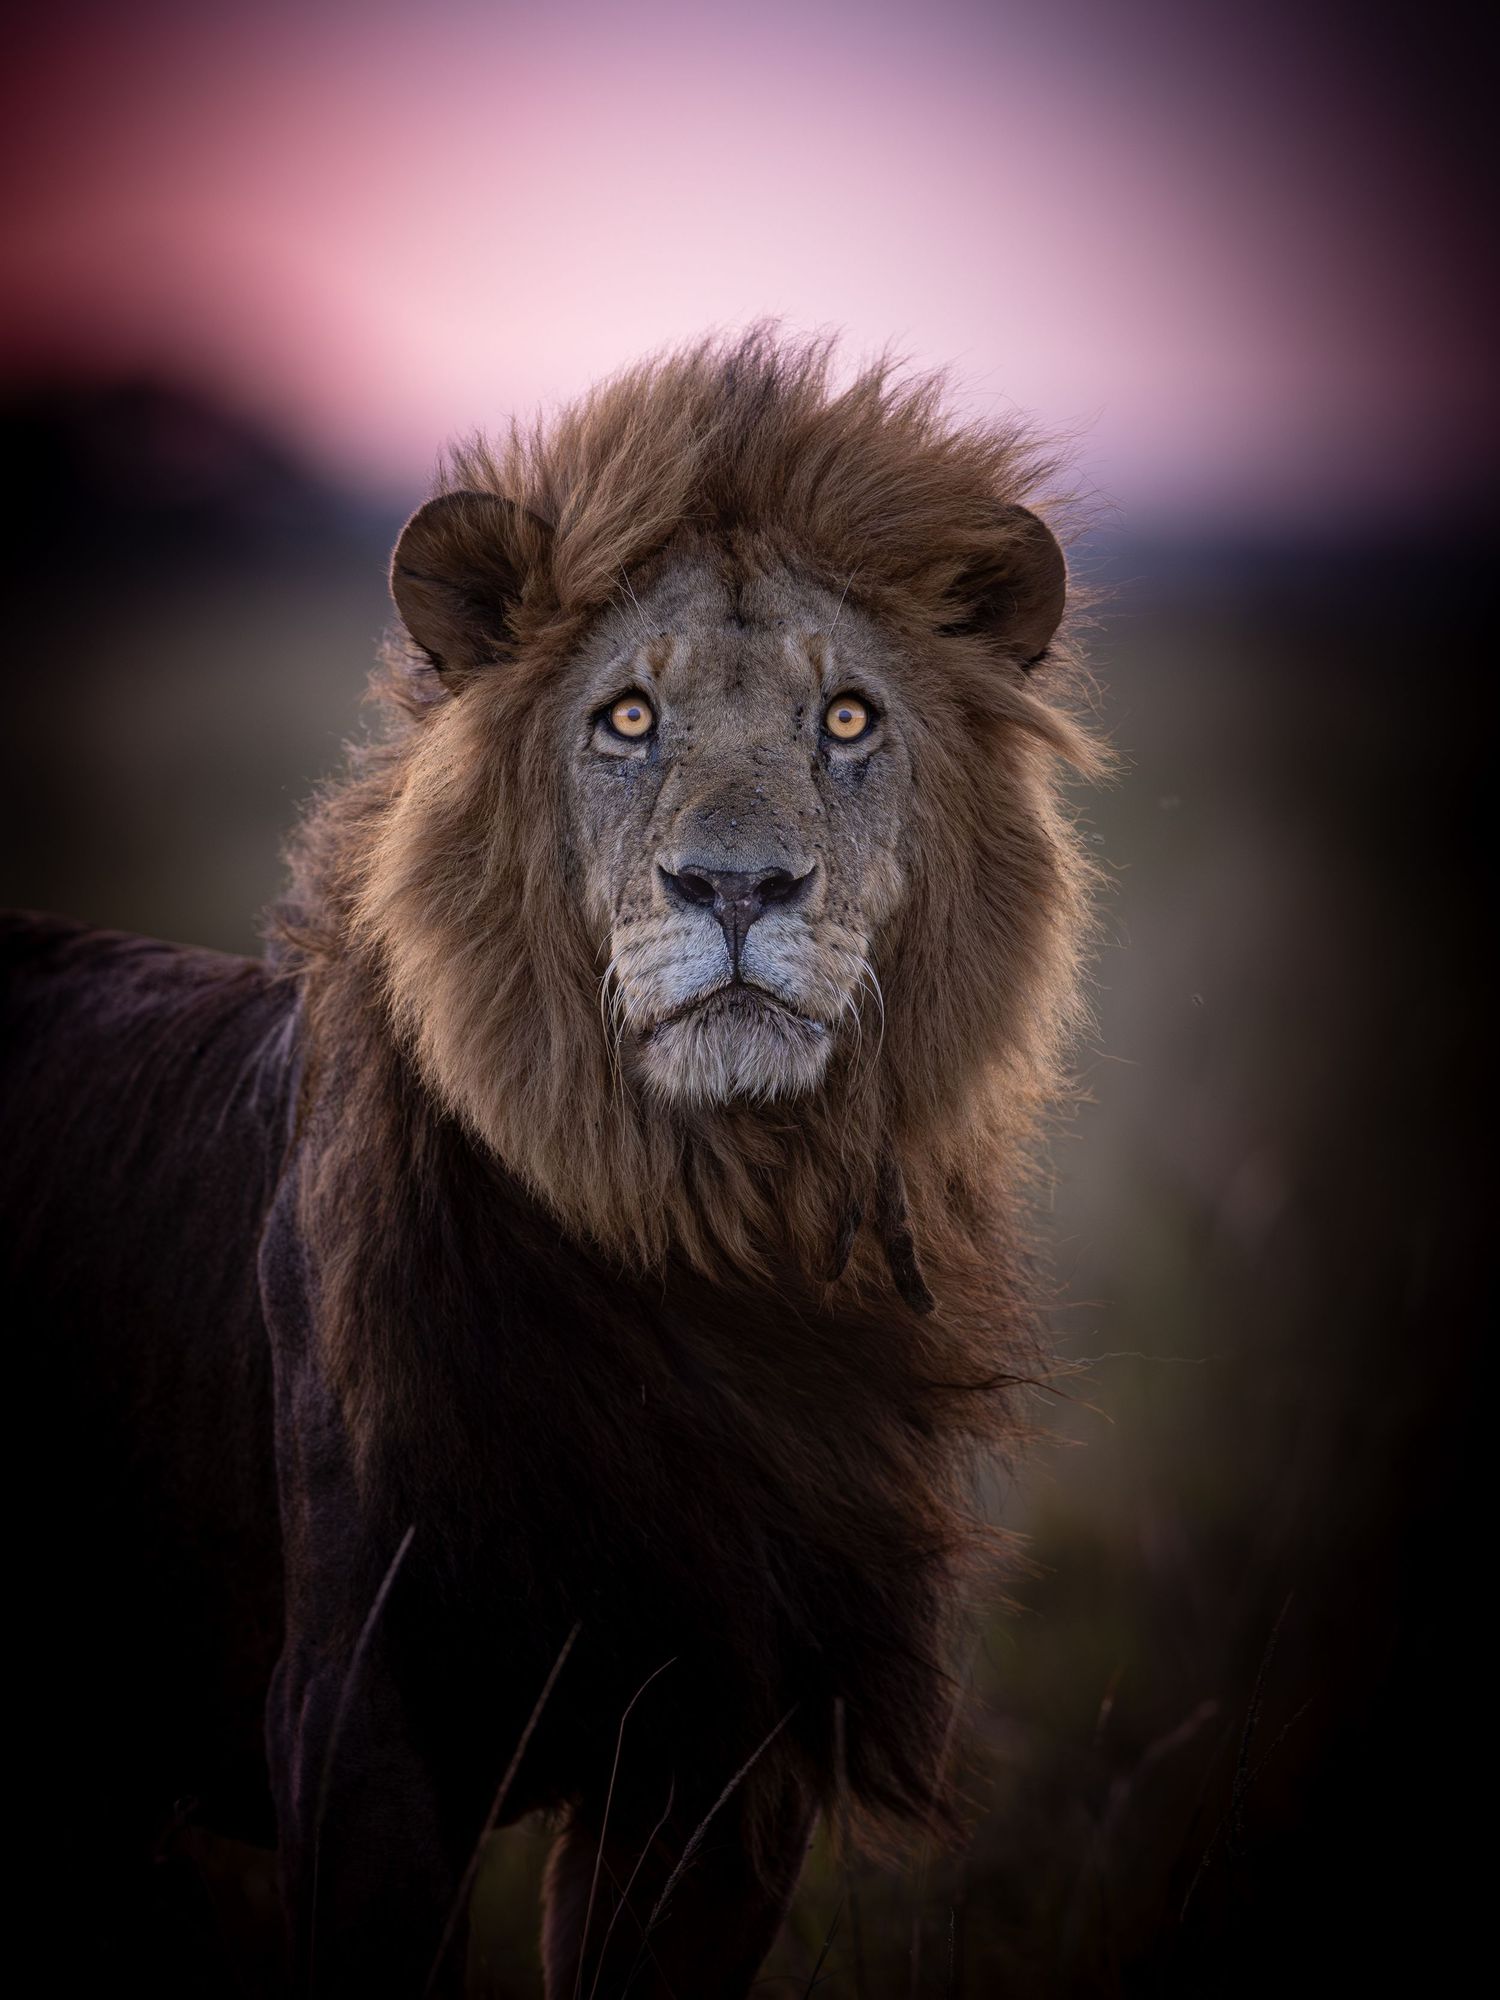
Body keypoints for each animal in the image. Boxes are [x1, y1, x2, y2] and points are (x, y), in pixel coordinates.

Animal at [2, 330, 1101, 1996]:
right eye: (627, 719)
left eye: (848, 721)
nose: (735, 887)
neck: (714, 1246)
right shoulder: (360, 1714)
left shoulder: (728, 1757)